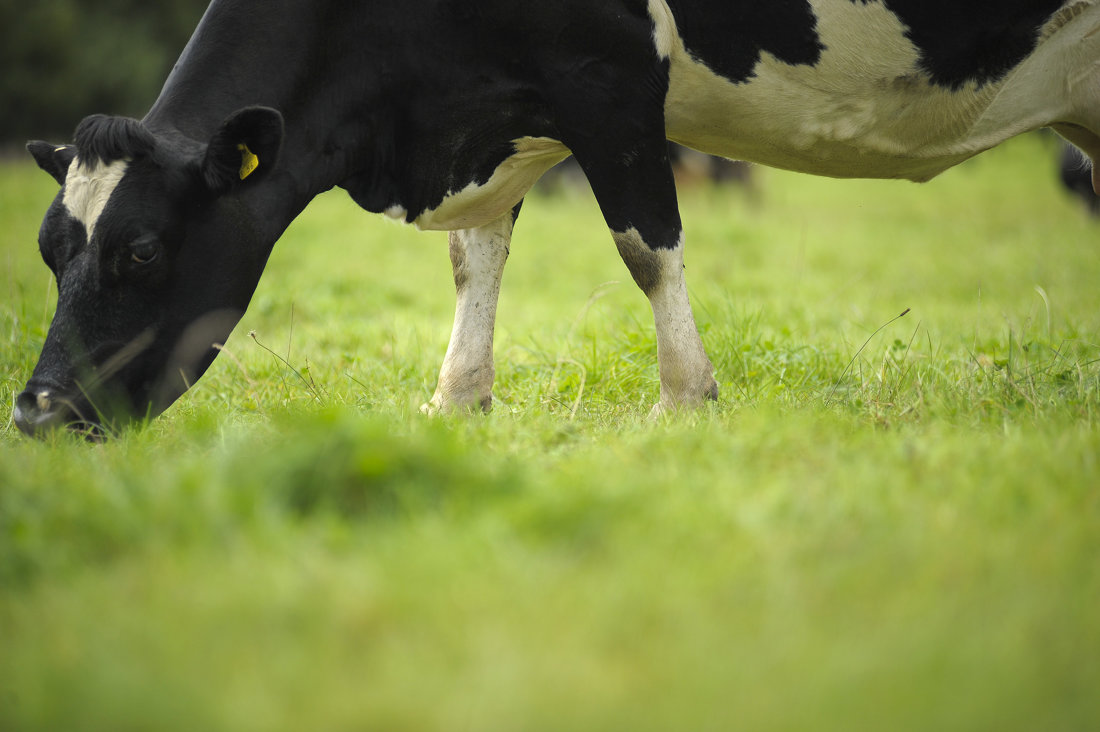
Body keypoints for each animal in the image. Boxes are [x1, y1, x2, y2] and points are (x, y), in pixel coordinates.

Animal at [13, 0, 1100, 437]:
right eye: (47, 249)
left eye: (141, 250)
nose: (32, 412)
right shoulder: (496, 111)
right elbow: (473, 259)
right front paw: (456, 399)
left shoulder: (606, 77)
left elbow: (644, 248)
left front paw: (683, 400)